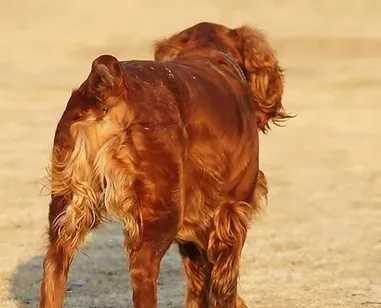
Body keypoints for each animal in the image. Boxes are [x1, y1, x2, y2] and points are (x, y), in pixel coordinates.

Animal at [39, 22, 288, 308]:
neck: (210, 54)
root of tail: (111, 84)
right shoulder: (231, 210)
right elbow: (224, 282)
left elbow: (198, 282)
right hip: (161, 213)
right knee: (142, 272)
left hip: (69, 205)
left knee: (54, 264)